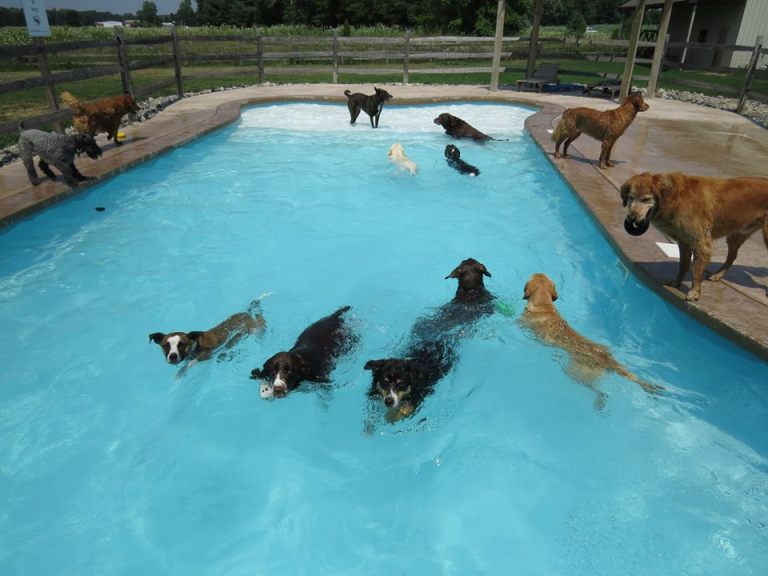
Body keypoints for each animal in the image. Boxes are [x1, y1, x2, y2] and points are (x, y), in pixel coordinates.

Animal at [620, 171, 768, 302]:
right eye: (630, 198)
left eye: (645, 199)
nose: (631, 218)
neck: (675, 197)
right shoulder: (684, 241)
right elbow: (683, 265)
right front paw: (676, 283)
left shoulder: (700, 243)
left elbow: (696, 271)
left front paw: (694, 292)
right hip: (737, 234)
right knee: (732, 256)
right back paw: (717, 275)